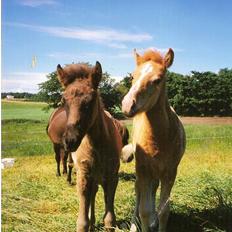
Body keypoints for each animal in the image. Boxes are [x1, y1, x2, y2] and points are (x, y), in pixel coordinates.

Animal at [56, 60, 125, 231]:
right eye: (63, 101)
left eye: (91, 101)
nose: (70, 140)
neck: (96, 147)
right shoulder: (83, 175)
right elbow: (82, 222)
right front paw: (88, 223)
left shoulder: (112, 176)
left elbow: (109, 219)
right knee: (91, 196)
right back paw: (92, 222)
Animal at [121, 48, 185, 231]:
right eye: (132, 76)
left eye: (157, 80)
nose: (127, 105)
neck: (159, 139)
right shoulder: (143, 171)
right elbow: (144, 210)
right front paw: (141, 223)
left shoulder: (170, 173)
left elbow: (164, 211)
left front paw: (156, 221)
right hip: (143, 173)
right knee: (139, 193)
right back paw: (135, 224)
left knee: (153, 190)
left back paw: (153, 221)